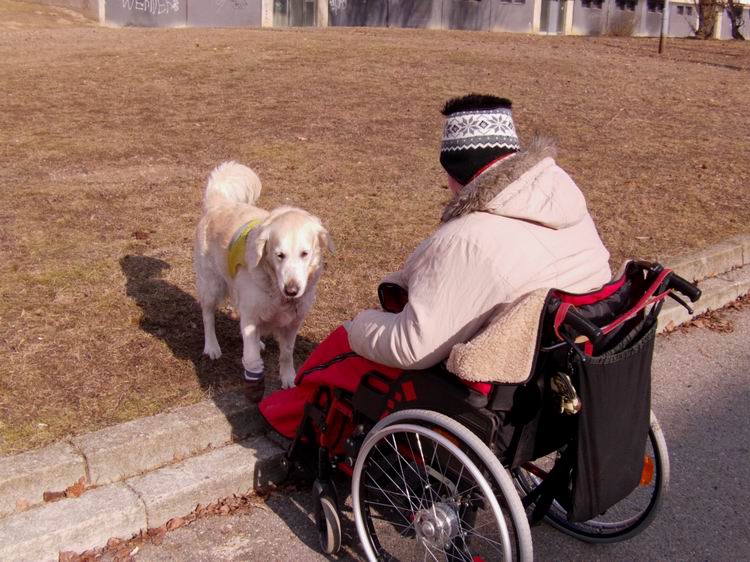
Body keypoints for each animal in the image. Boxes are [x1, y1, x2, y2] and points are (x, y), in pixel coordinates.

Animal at [194, 162, 334, 390]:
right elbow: (251, 357)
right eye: (279, 255)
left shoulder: (293, 323)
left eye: (305, 253)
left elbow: (286, 354)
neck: (276, 290)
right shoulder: (251, 314)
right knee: (207, 316)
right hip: (211, 285)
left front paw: (288, 378)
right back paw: (212, 346)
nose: (292, 290)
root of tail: (220, 203)